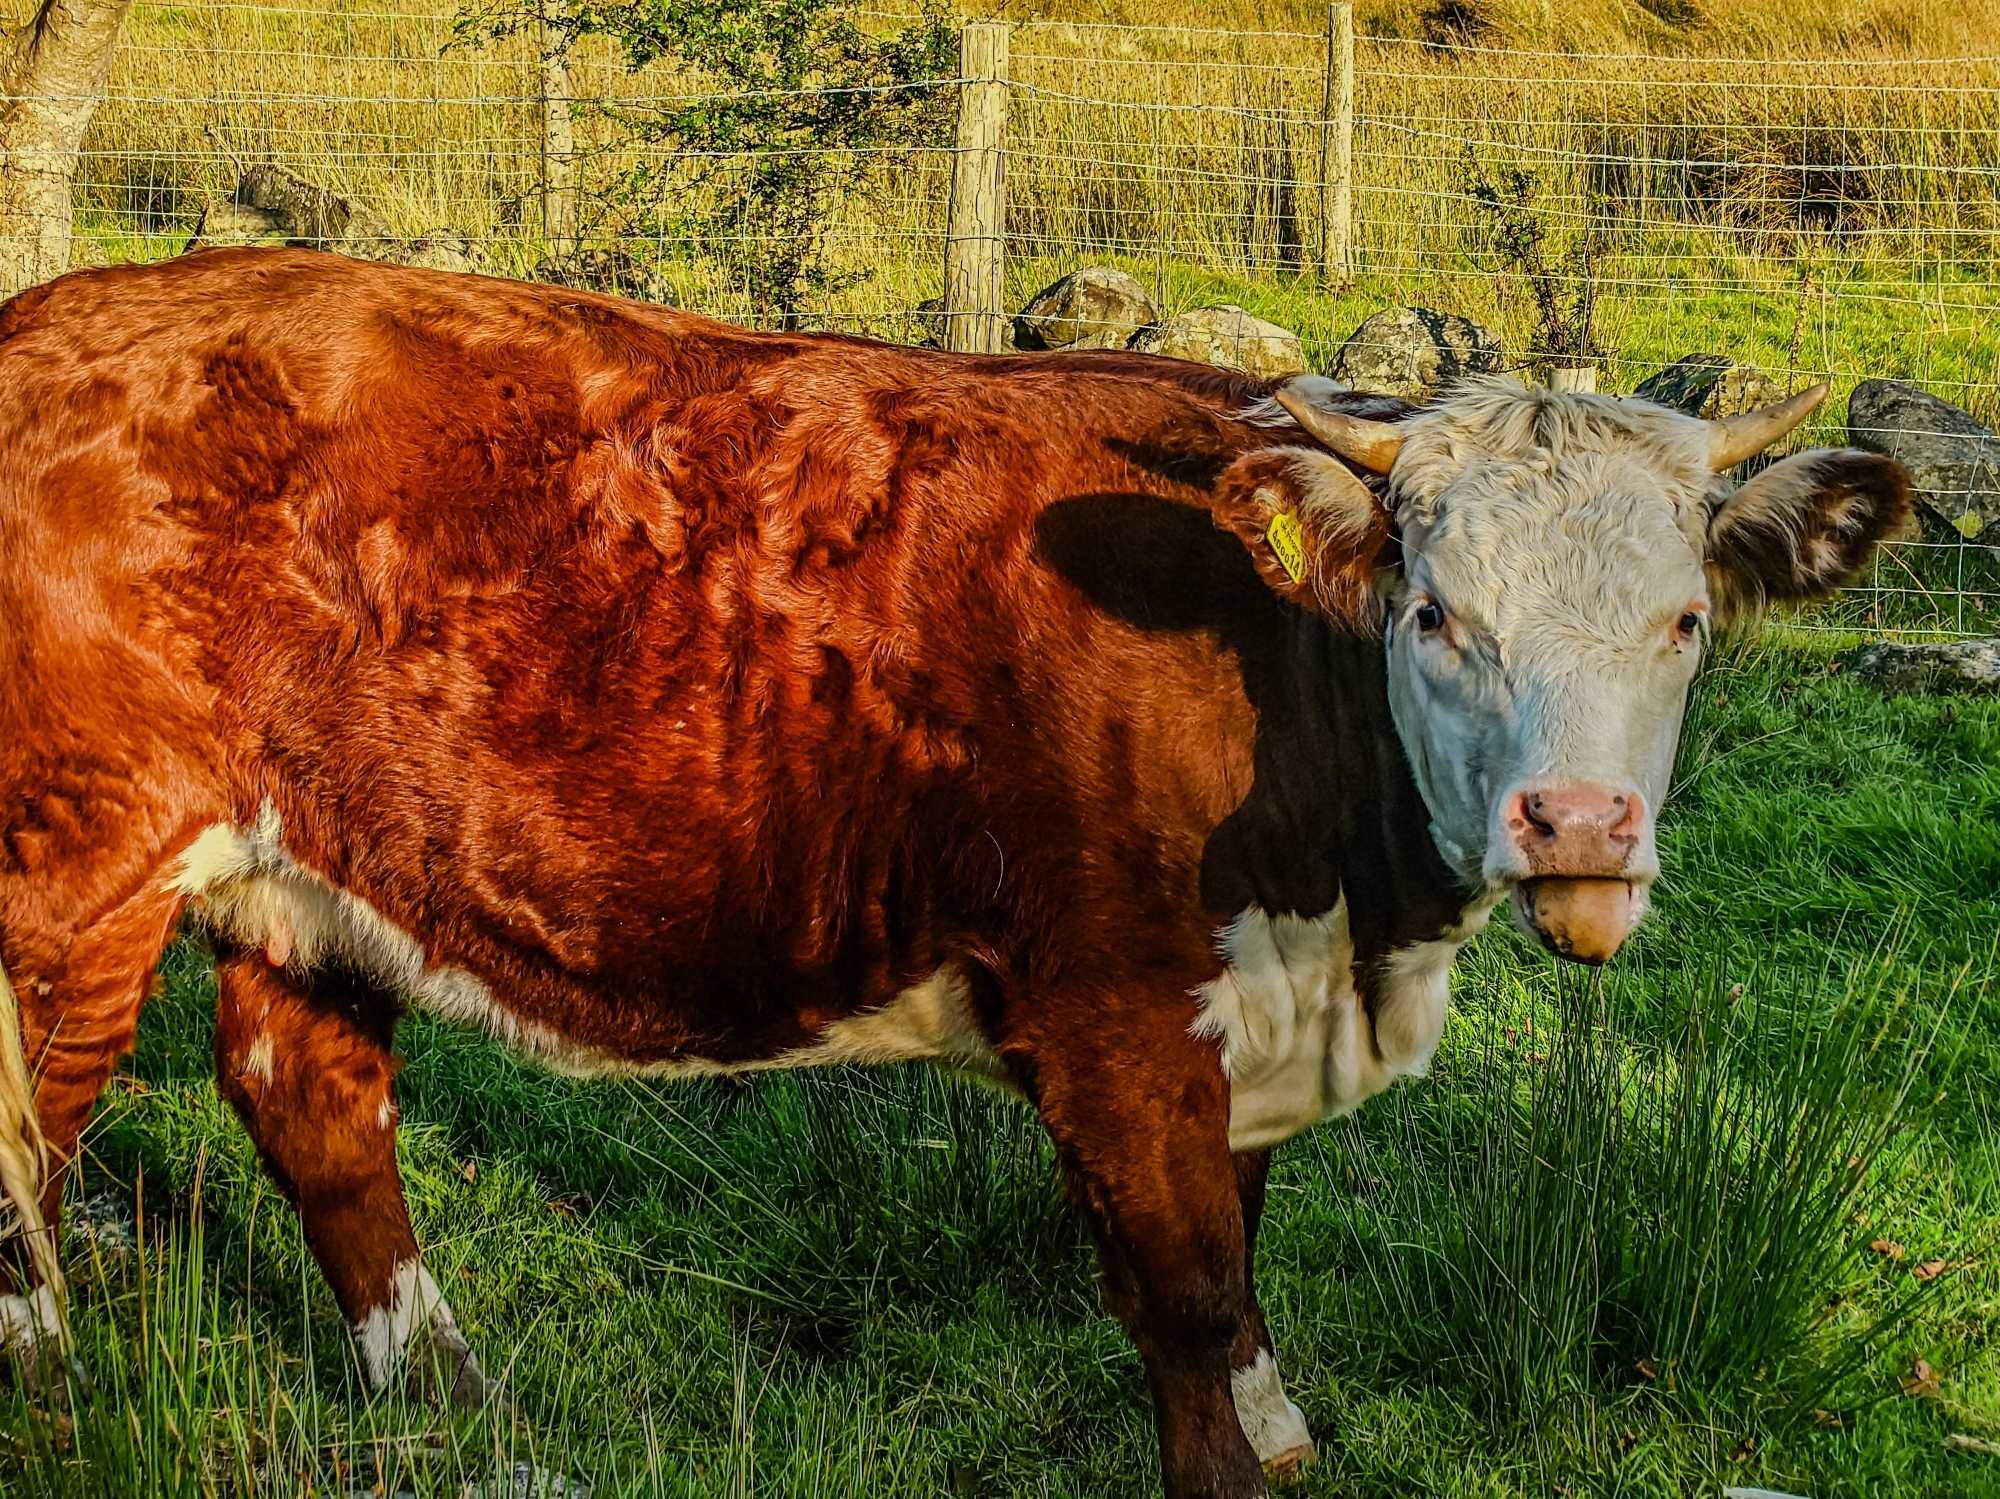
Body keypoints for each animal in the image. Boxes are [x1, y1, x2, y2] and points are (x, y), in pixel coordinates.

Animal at [0, 252, 1904, 1495]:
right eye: (1438, 612)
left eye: (1682, 620)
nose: (1576, 823)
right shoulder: (1114, 1010)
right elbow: (1188, 1289)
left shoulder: (1245, 1006)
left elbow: (1242, 1265)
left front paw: (1283, 1419)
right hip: (75, 864)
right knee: (34, 1136)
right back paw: (50, 1381)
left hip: (322, 863)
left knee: (304, 1088)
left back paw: (453, 1387)